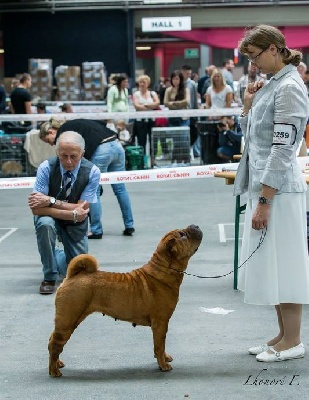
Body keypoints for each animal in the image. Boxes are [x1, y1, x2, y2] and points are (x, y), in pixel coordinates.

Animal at [48, 225, 202, 378]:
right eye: (183, 234)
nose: (195, 226)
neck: (164, 269)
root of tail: (72, 276)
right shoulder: (161, 323)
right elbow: (159, 345)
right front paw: (163, 365)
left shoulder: (161, 325)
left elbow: (160, 345)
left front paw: (165, 358)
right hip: (68, 320)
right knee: (55, 344)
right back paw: (54, 371)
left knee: (53, 341)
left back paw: (58, 364)